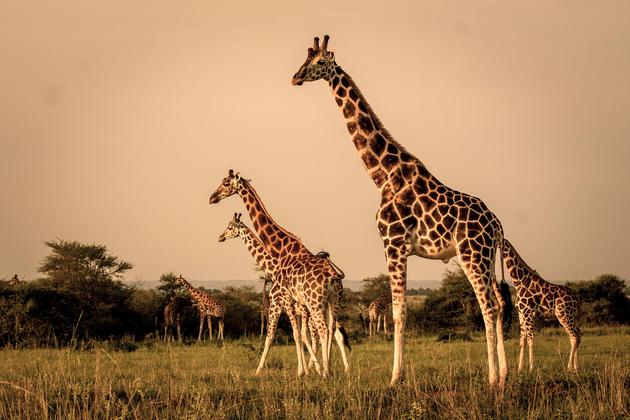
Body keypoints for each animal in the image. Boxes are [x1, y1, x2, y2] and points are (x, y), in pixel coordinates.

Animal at [211, 175, 350, 378]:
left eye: (226, 183)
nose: (212, 198)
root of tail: (333, 276)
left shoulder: (282, 301)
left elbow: (283, 335)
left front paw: (295, 371)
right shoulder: (298, 305)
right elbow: (301, 335)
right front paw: (308, 369)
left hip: (316, 304)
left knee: (323, 332)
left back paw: (325, 372)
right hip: (333, 302)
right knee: (333, 331)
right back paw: (334, 369)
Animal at [294, 36, 512, 388]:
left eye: (319, 63)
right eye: (306, 58)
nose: (295, 77)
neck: (384, 174)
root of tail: (496, 225)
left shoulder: (393, 244)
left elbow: (399, 312)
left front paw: (395, 377)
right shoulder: (400, 248)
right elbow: (400, 311)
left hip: (471, 255)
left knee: (488, 307)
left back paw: (493, 379)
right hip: (488, 258)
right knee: (500, 302)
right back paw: (505, 373)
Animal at [504, 238, 584, 372]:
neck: (519, 281)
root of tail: (577, 299)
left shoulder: (528, 313)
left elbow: (530, 339)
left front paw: (531, 368)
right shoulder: (521, 314)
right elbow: (522, 341)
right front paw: (520, 369)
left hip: (563, 315)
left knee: (574, 336)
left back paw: (569, 367)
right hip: (571, 316)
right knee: (576, 334)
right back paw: (576, 367)